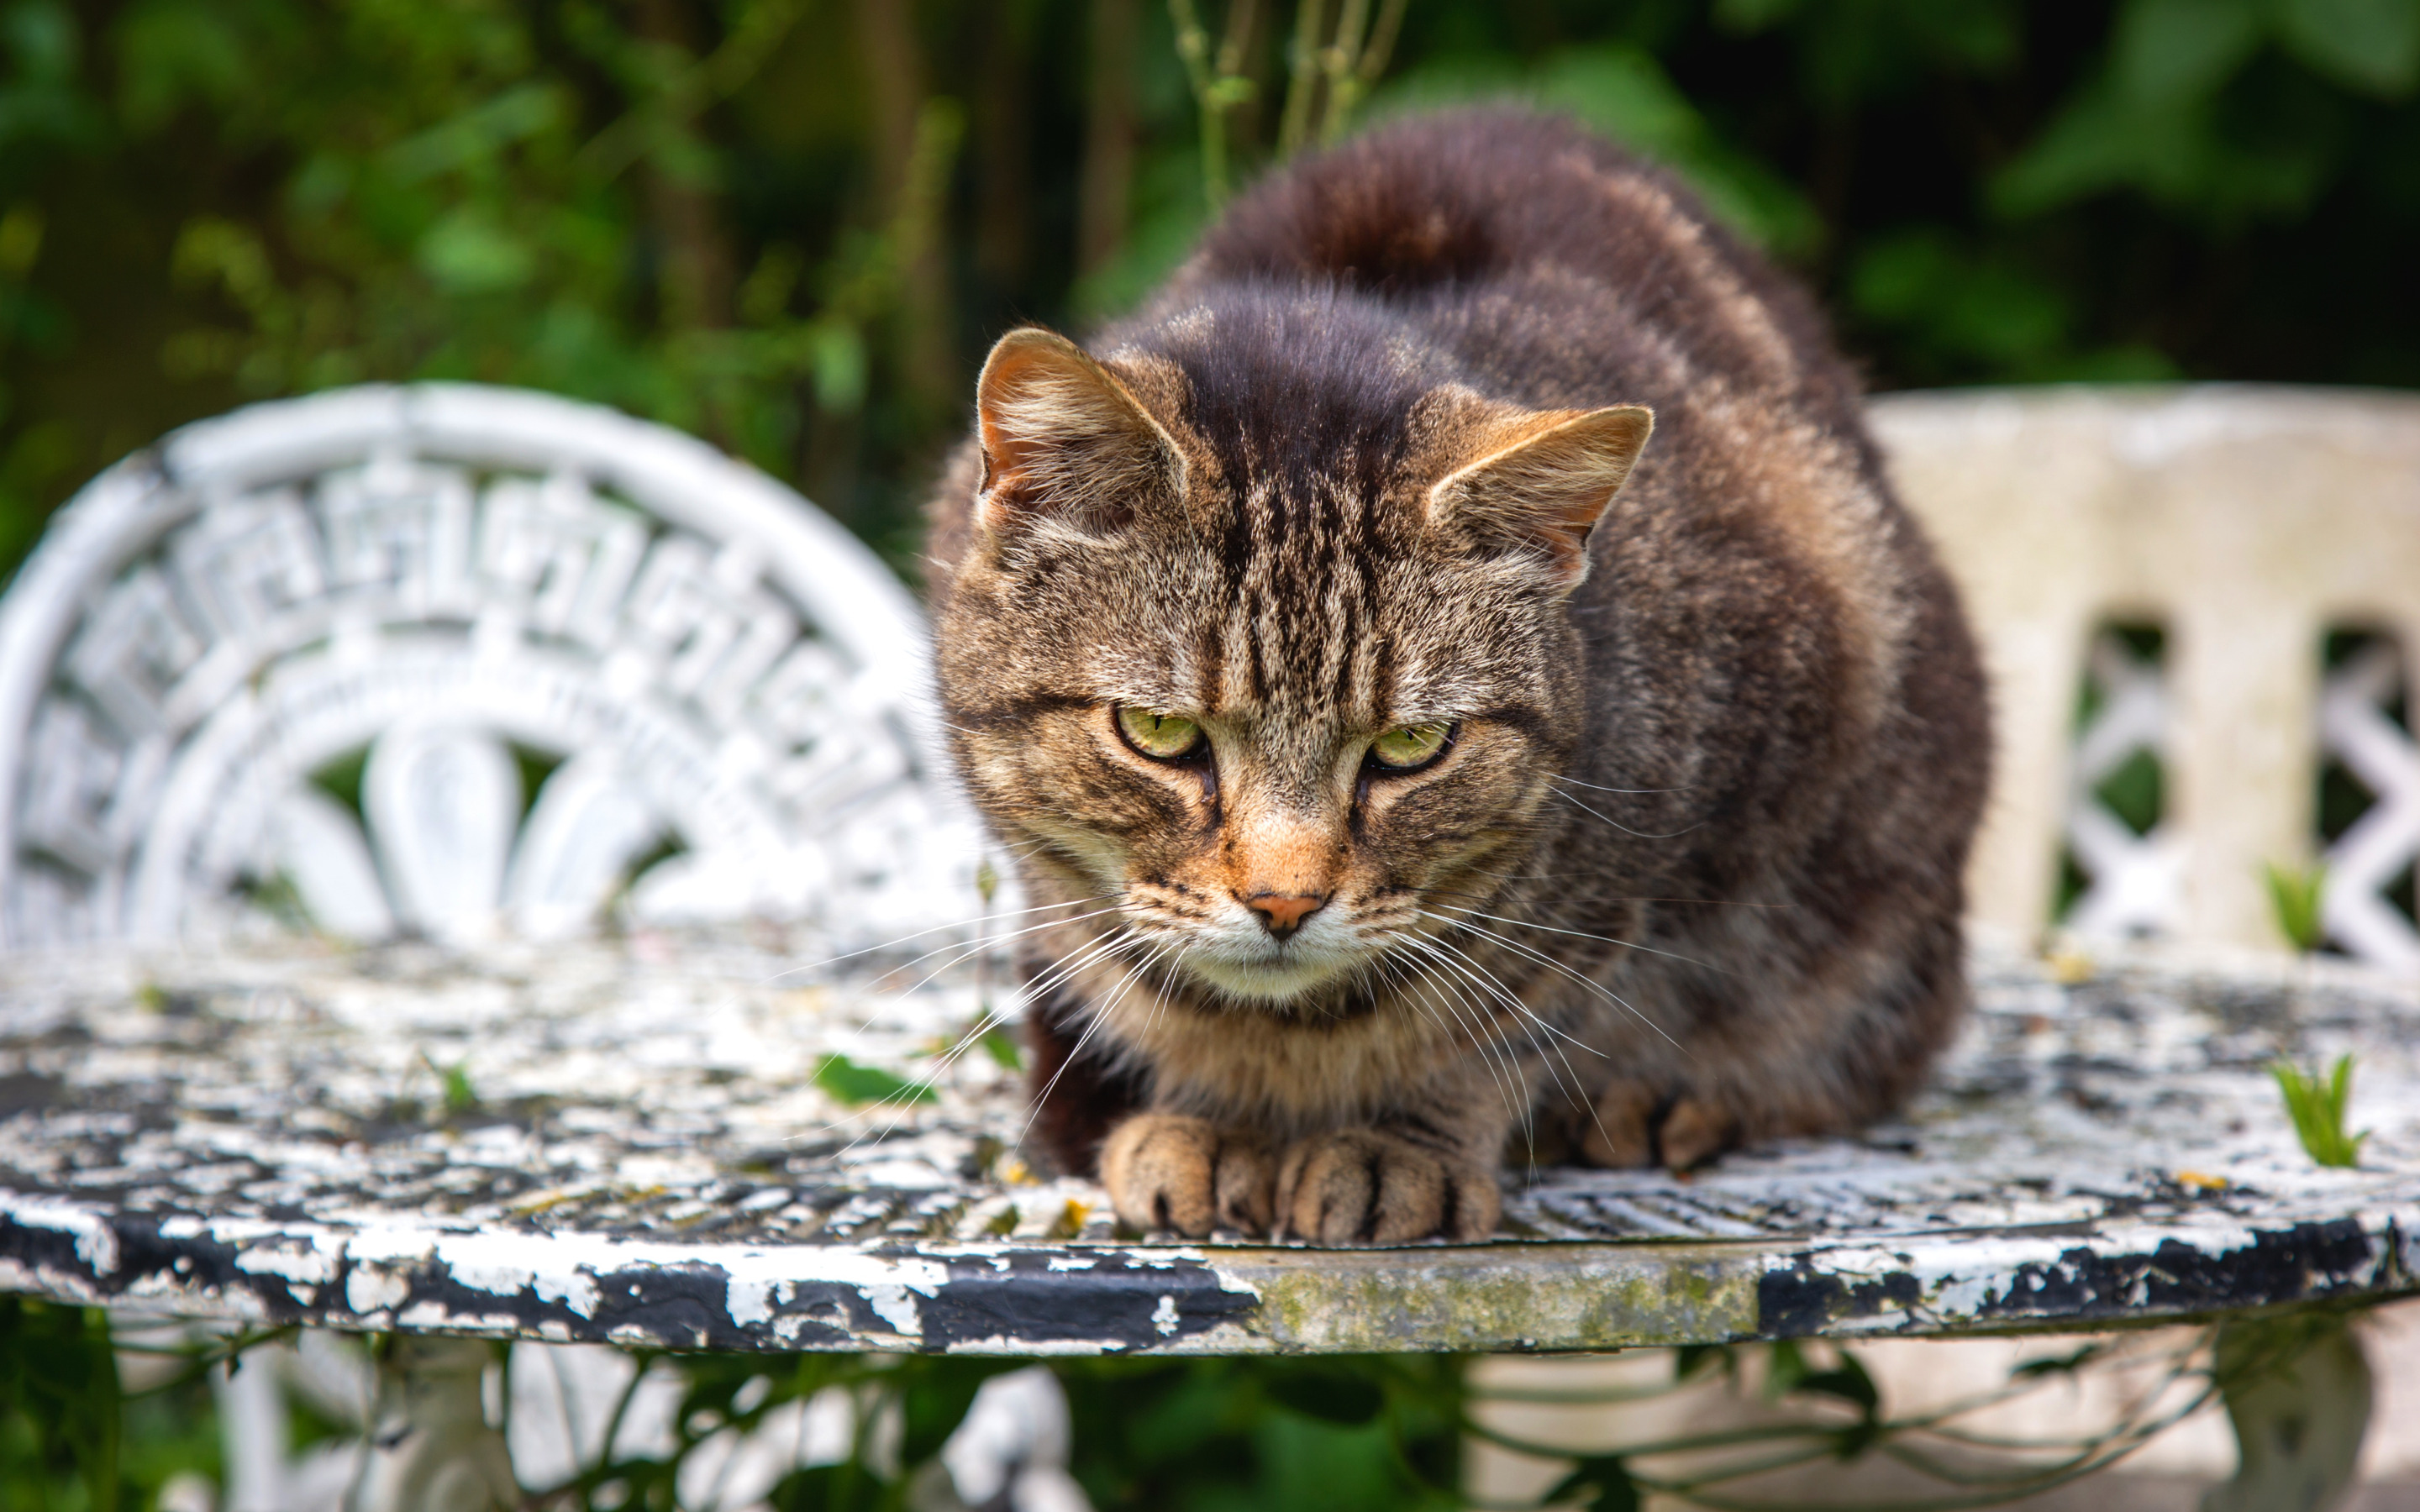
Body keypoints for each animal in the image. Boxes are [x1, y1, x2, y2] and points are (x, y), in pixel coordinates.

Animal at [919, 106, 1984, 1238]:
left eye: (1411, 746)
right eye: (1159, 733)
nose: (1284, 904)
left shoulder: (1655, 853)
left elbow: (1507, 1013)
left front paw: (1400, 1143)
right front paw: (1217, 1117)